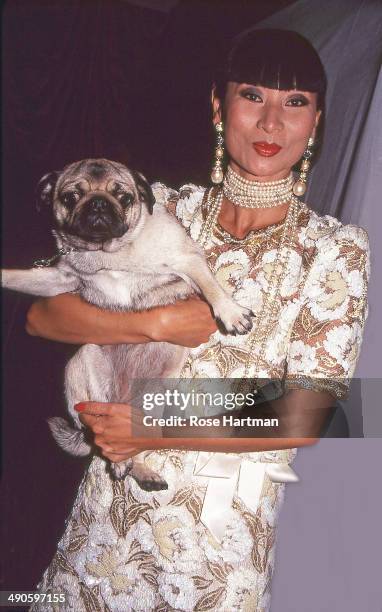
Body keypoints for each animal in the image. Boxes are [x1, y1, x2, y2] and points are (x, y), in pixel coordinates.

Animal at [3, 159, 254, 492]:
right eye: (70, 197)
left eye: (124, 197)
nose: (97, 203)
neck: (109, 253)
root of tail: (124, 400)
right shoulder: (59, 279)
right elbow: (20, 277)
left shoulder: (186, 260)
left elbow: (211, 286)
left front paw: (230, 311)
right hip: (85, 361)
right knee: (101, 432)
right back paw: (125, 464)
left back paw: (141, 470)